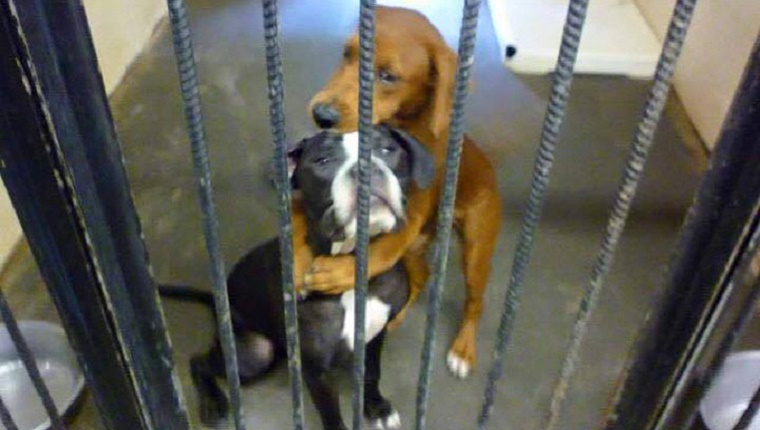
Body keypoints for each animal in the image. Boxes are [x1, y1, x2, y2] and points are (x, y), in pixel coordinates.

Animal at [160, 125, 434, 430]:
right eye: (322, 161)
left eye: (387, 149)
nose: (366, 167)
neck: (349, 268)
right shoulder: (316, 371)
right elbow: (331, 413)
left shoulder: (375, 336)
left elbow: (372, 374)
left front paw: (377, 407)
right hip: (254, 353)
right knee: (199, 361)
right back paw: (211, 403)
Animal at [290, 5, 498, 378]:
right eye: (346, 54)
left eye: (387, 77)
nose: (321, 114)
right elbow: (298, 214)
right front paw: (297, 262)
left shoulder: (408, 213)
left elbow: (381, 252)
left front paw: (338, 273)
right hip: (417, 249)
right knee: (423, 276)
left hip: (476, 246)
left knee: (476, 302)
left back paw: (463, 349)